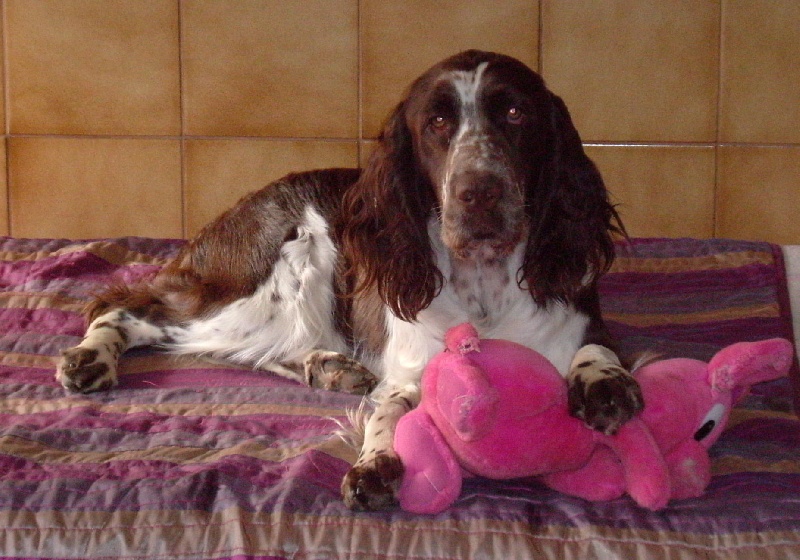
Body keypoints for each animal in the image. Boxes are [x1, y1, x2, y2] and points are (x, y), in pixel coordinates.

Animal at [56, 51, 644, 512]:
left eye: (517, 113)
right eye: (436, 122)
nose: (479, 193)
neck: (484, 285)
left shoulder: (581, 318)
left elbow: (597, 348)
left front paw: (603, 383)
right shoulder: (411, 367)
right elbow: (391, 408)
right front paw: (377, 460)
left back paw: (330, 367)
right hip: (277, 276)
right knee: (128, 307)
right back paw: (90, 357)